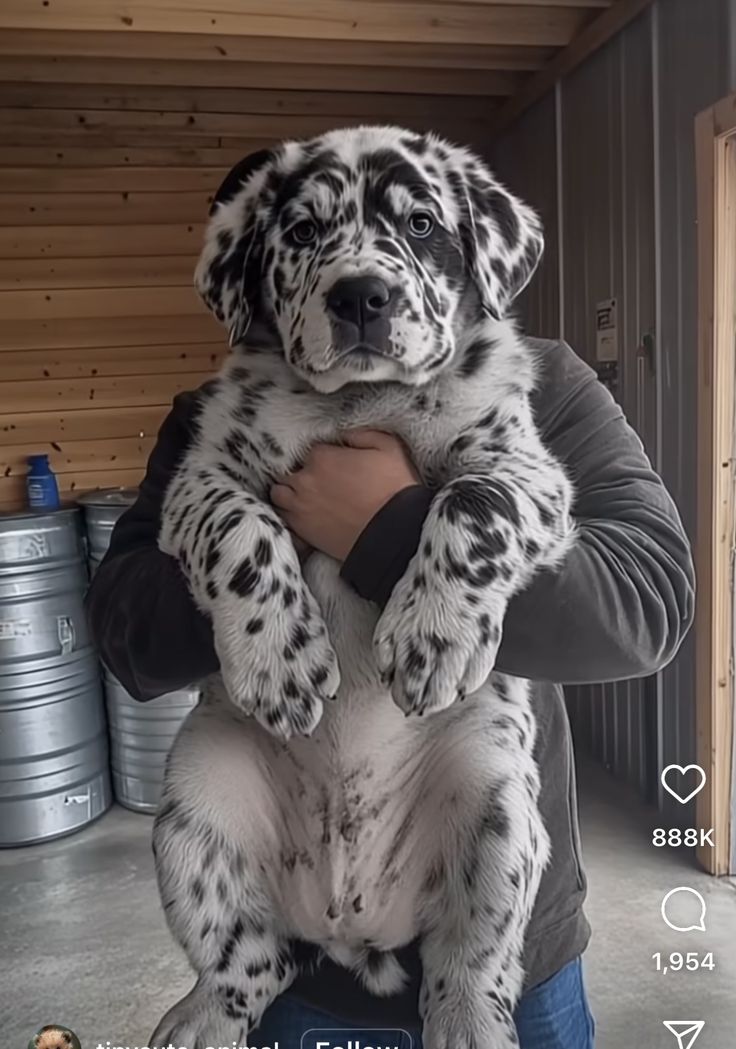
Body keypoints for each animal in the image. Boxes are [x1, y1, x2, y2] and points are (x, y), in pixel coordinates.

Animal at [150, 126, 578, 1049]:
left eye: (420, 224)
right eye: (303, 232)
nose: (361, 297)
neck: (361, 402)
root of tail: (353, 923)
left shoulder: (530, 471)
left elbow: (471, 501)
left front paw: (432, 638)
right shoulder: (201, 478)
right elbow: (244, 527)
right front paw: (280, 662)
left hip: (500, 807)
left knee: (470, 962)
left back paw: (470, 1022)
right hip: (193, 810)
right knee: (249, 961)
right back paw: (202, 1015)